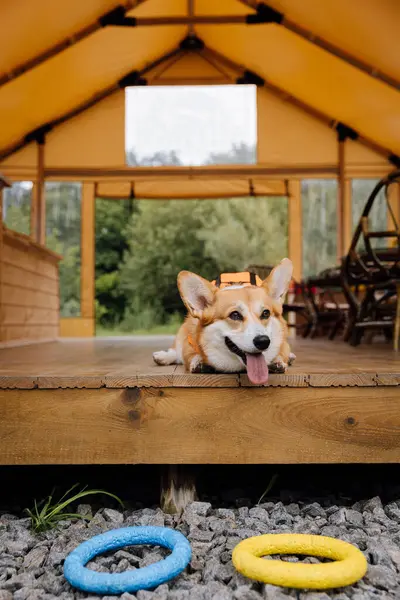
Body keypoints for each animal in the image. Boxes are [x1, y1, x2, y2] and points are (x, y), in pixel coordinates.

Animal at [152, 258, 296, 384]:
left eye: (266, 313)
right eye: (235, 315)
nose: (263, 341)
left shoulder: (283, 344)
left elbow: (281, 352)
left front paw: (277, 361)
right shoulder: (189, 341)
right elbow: (189, 354)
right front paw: (199, 361)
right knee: (176, 351)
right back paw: (163, 356)